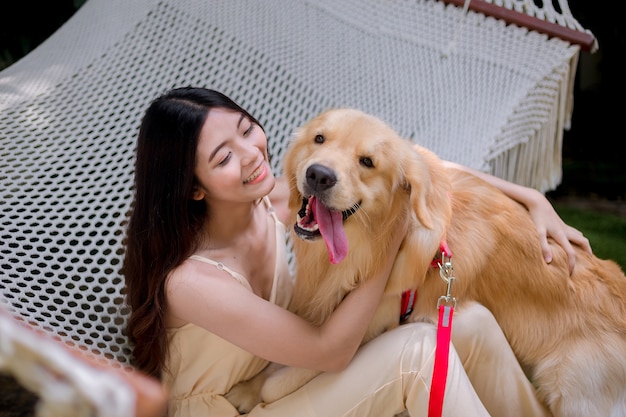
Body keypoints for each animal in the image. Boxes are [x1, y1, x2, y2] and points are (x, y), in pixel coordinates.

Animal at [227, 109, 624, 414]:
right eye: (319, 139)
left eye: (367, 162)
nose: (318, 175)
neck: (372, 243)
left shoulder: (362, 333)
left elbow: (282, 379)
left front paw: (250, 392)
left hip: (577, 395)